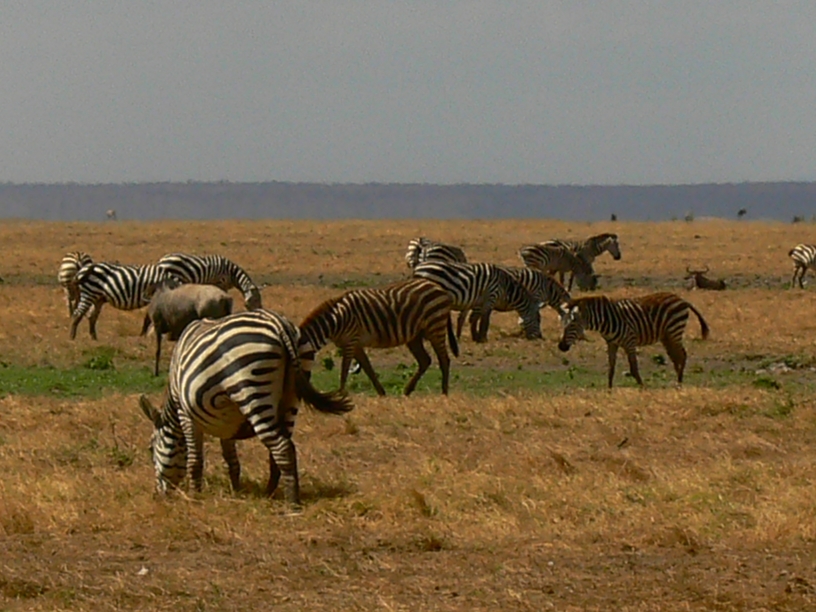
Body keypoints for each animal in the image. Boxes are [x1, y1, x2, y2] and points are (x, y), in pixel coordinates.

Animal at [138, 309, 353, 506]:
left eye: (150, 449)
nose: (157, 496)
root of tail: (278, 324)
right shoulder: (226, 421)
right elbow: (231, 459)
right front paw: (236, 489)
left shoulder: (185, 413)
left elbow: (194, 460)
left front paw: (194, 496)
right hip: (292, 396)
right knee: (283, 448)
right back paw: (270, 494)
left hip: (252, 390)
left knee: (281, 447)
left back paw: (292, 503)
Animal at [299, 278, 459, 396]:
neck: (336, 320)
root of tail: (439, 288)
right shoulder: (356, 344)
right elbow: (368, 368)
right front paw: (381, 393)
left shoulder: (350, 341)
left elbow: (344, 369)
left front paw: (340, 393)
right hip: (415, 335)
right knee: (425, 360)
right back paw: (407, 391)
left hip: (435, 326)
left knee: (444, 359)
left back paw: (444, 393)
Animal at [412, 261, 541, 343]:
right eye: (538, 320)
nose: (540, 338)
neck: (505, 287)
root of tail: (418, 267)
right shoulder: (491, 296)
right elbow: (485, 320)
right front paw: (482, 338)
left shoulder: (479, 302)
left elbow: (474, 318)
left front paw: (475, 337)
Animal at [558, 292, 710, 388]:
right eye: (563, 324)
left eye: (572, 325)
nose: (561, 347)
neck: (605, 319)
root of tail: (681, 299)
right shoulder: (612, 343)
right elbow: (611, 367)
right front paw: (609, 389)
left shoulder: (629, 341)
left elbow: (633, 368)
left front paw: (643, 387)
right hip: (667, 336)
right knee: (676, 357)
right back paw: (678, 381)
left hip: (674, 331)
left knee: (682, 356)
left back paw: (679, 384)